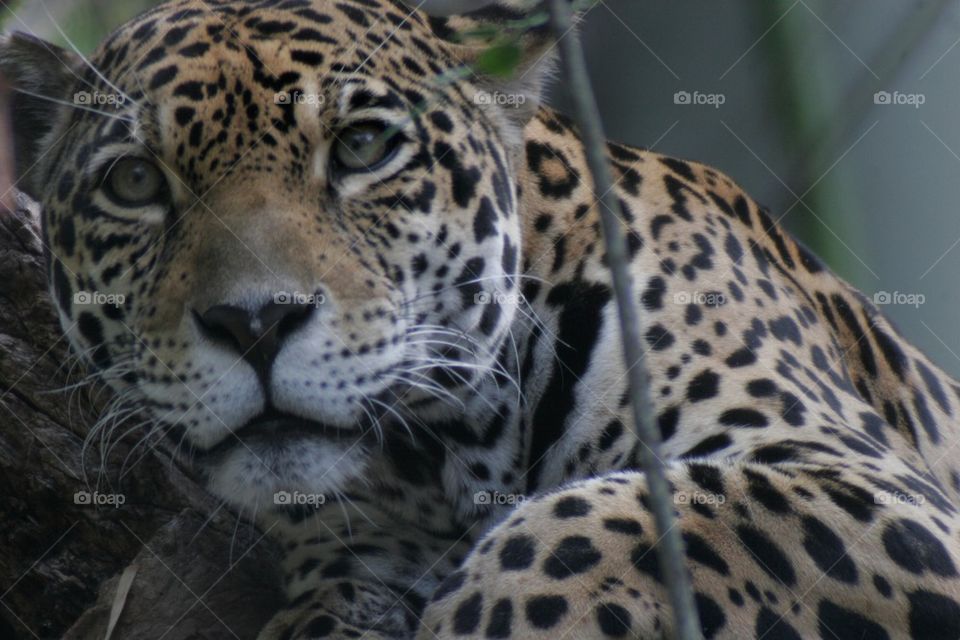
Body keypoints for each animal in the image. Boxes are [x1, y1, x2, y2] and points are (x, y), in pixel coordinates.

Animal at [3, 0, 960, 638]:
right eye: (134, 182)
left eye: (362, 147)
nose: (257, 323)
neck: (445, 453)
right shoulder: (354, 551)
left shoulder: (855, 475)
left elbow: (578, 535)